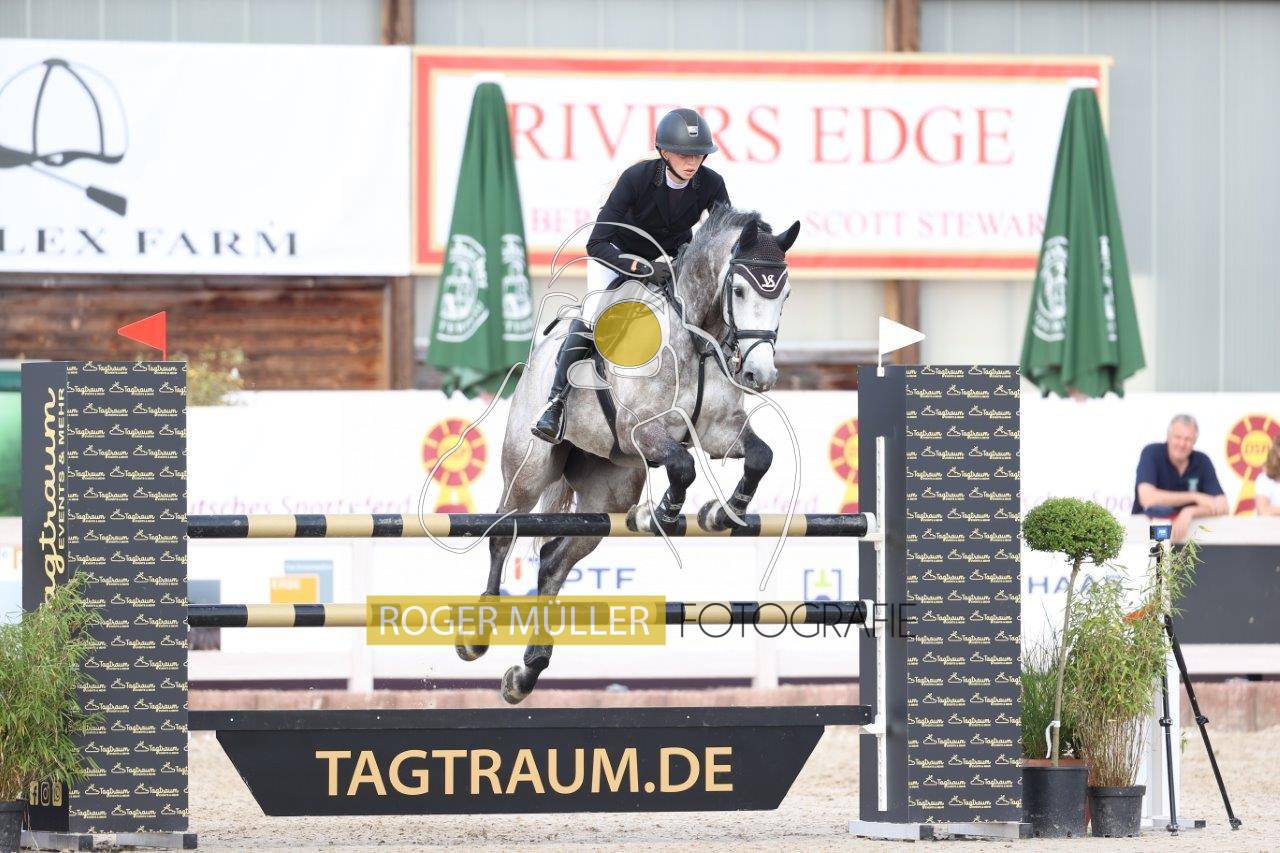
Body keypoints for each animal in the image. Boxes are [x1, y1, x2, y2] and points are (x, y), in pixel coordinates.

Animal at [460, 206, 800, 703]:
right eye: (738, 290)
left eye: (785, 294)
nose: (760, 375)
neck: (695, 340)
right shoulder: (639, 429)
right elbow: (682, 465)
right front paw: (665, 512)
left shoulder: (720, 432)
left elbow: (760, 457)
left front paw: (722, 512)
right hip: (528, 469)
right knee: (504, 534)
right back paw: (476, 637)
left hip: (610, 492)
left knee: (555, 559)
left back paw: (527, 672)